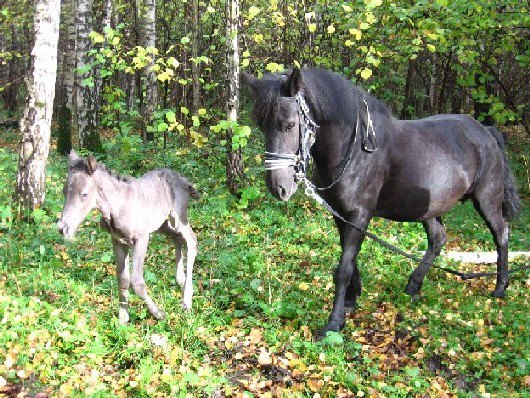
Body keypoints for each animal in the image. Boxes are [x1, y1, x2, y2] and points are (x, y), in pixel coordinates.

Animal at [244, 67, 520, 338]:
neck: (354, 148)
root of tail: (486, 132)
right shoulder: (341, 214)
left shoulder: (360, 214)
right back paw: (413, 285)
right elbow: (349, 262)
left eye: (289, 125)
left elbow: (343, 268)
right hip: (429, 207)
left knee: (501, 233)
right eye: (261, 125)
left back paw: (500, 287)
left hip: (486, 198)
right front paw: (350, 301)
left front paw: (333, 323)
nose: (279, 187)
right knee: (438, 239)